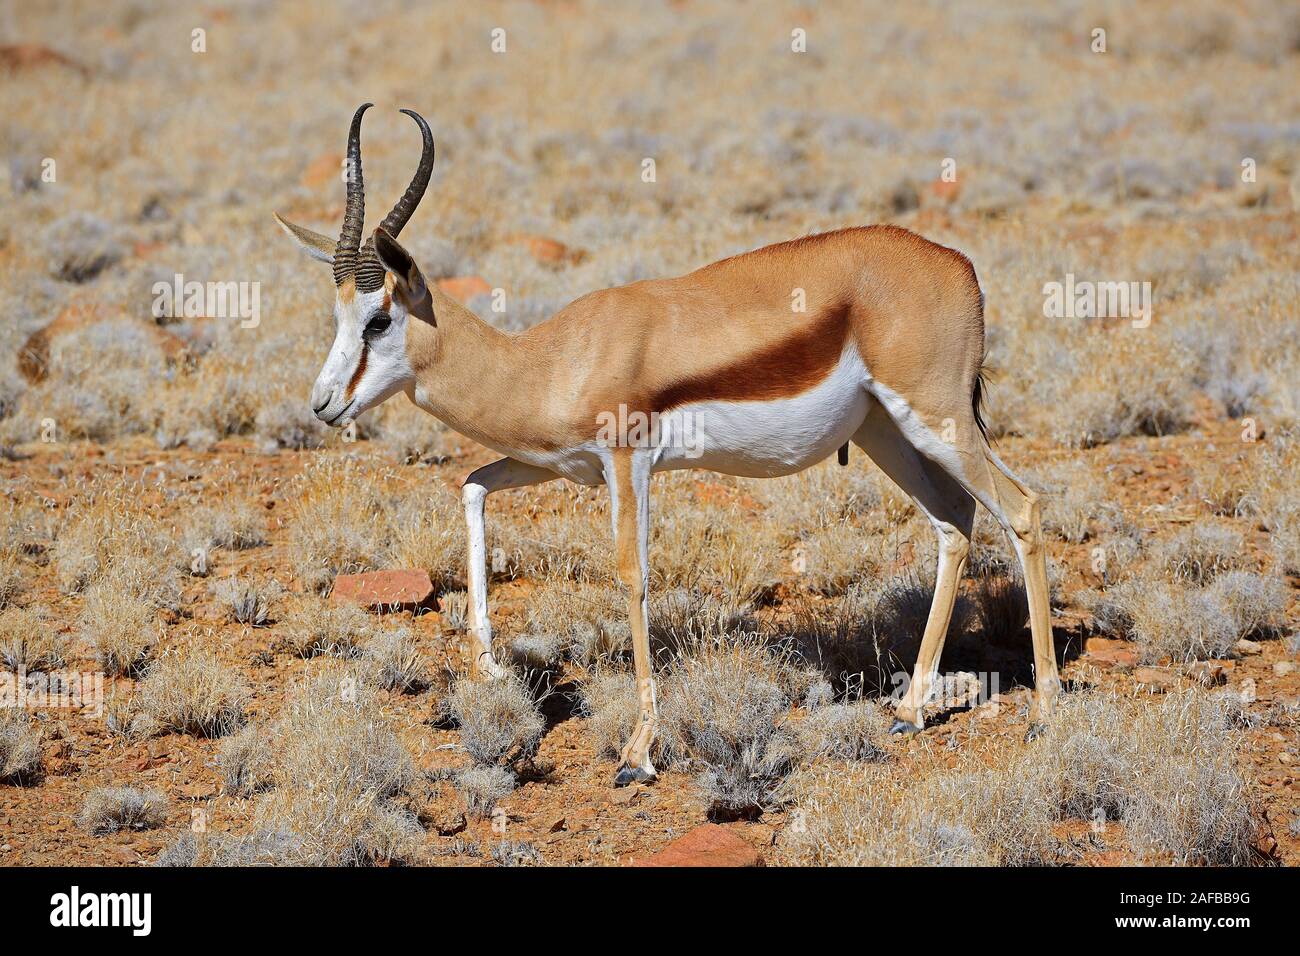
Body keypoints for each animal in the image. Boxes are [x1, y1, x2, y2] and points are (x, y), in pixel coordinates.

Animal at [274, 108, 1055, 790]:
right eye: (337, 315)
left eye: (379, 320)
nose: (323, 403)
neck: (551, 359)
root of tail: (959, 265)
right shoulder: (557, 464)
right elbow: (470, 485)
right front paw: (490, 669)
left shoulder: (629, 463)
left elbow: (632, 575)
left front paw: (639, 753)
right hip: (884, 432)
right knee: (955, 519)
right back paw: (911, 711)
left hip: (937, 420)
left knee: (1021, 507)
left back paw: (1045, 713)